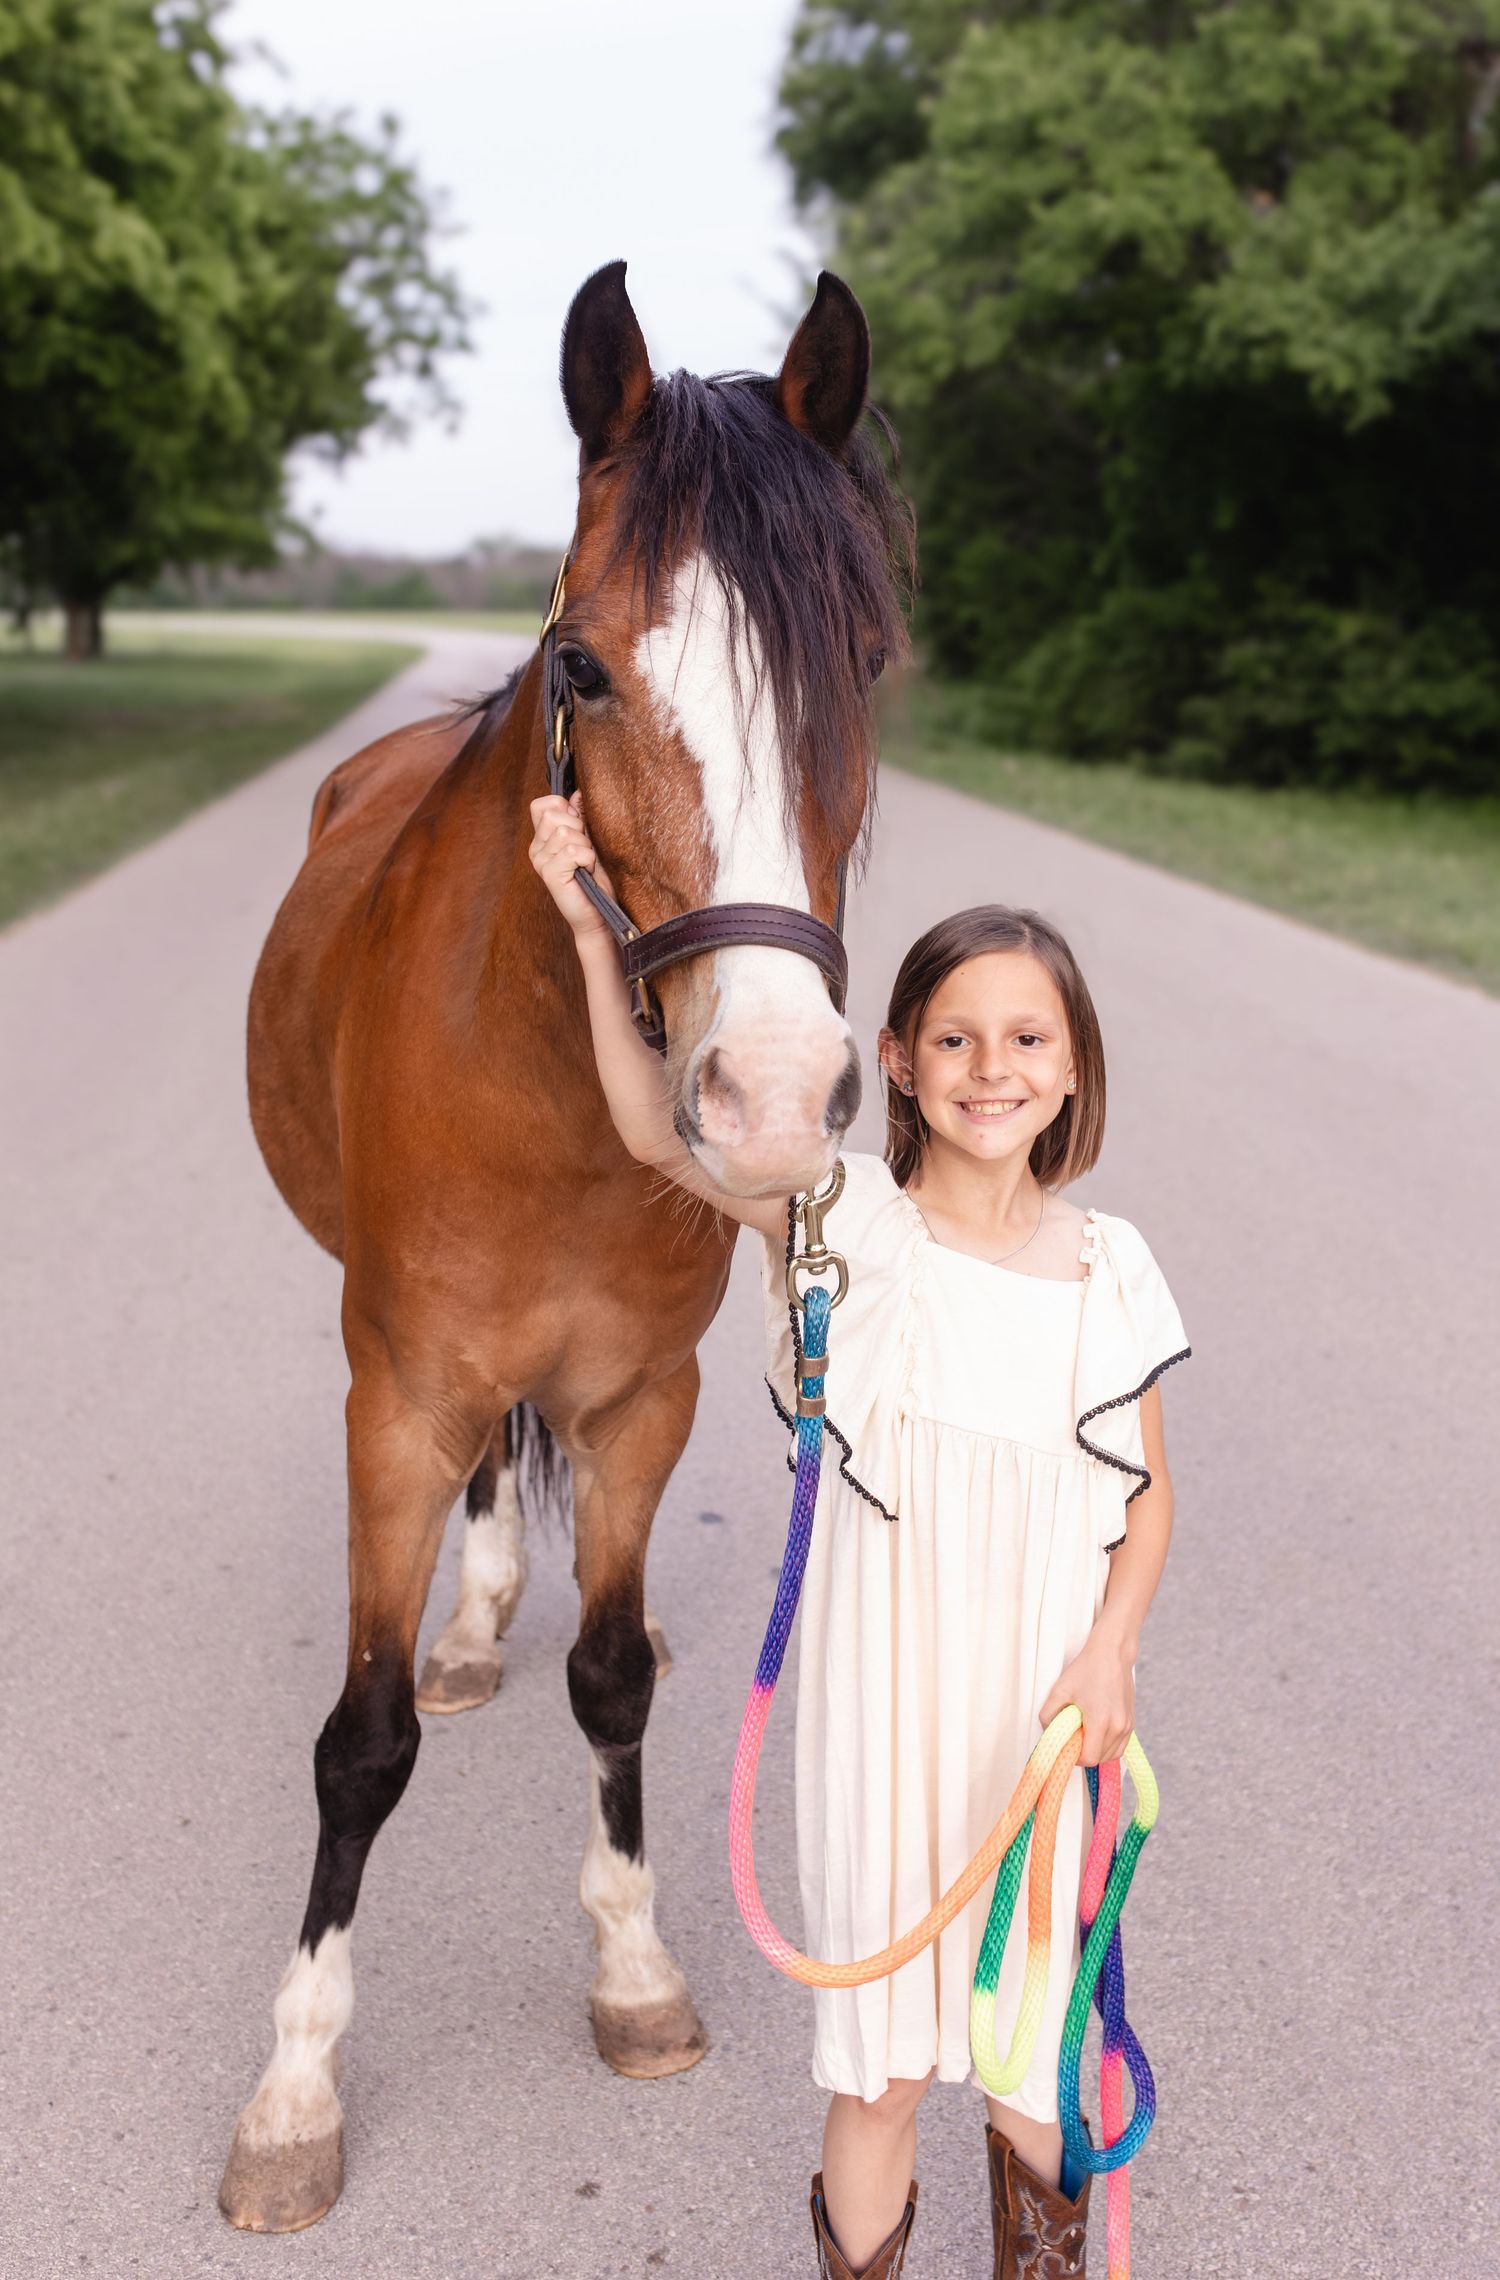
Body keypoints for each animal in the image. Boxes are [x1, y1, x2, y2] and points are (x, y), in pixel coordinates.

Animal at [218, 260, 913, 2233]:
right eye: (586, 666)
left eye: (865, 664)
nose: (773, 1097)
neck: (542, 1075)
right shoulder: (394, 1398)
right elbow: (362, 1743)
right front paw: (293, 2090)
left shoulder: (637, 1399)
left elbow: (609, 1688)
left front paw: (635, 1972)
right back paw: (469, 1621)